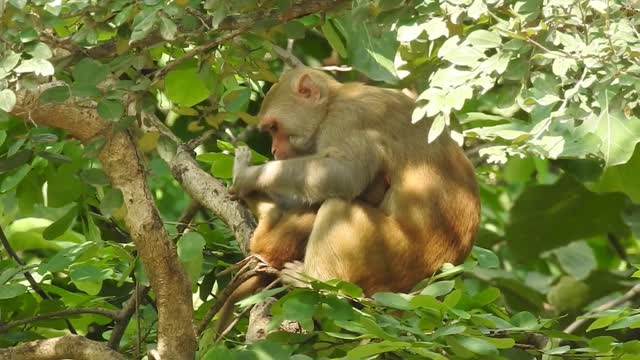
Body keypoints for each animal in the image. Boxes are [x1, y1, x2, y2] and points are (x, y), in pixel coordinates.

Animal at [218, 66, 478, 330]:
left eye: (274, 128)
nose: (274, 150)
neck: (332, 102)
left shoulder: (348, 121)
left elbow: (344, 174)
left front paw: (247, 176)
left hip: (396, 255)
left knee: (338, 207)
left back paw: (315, 280)